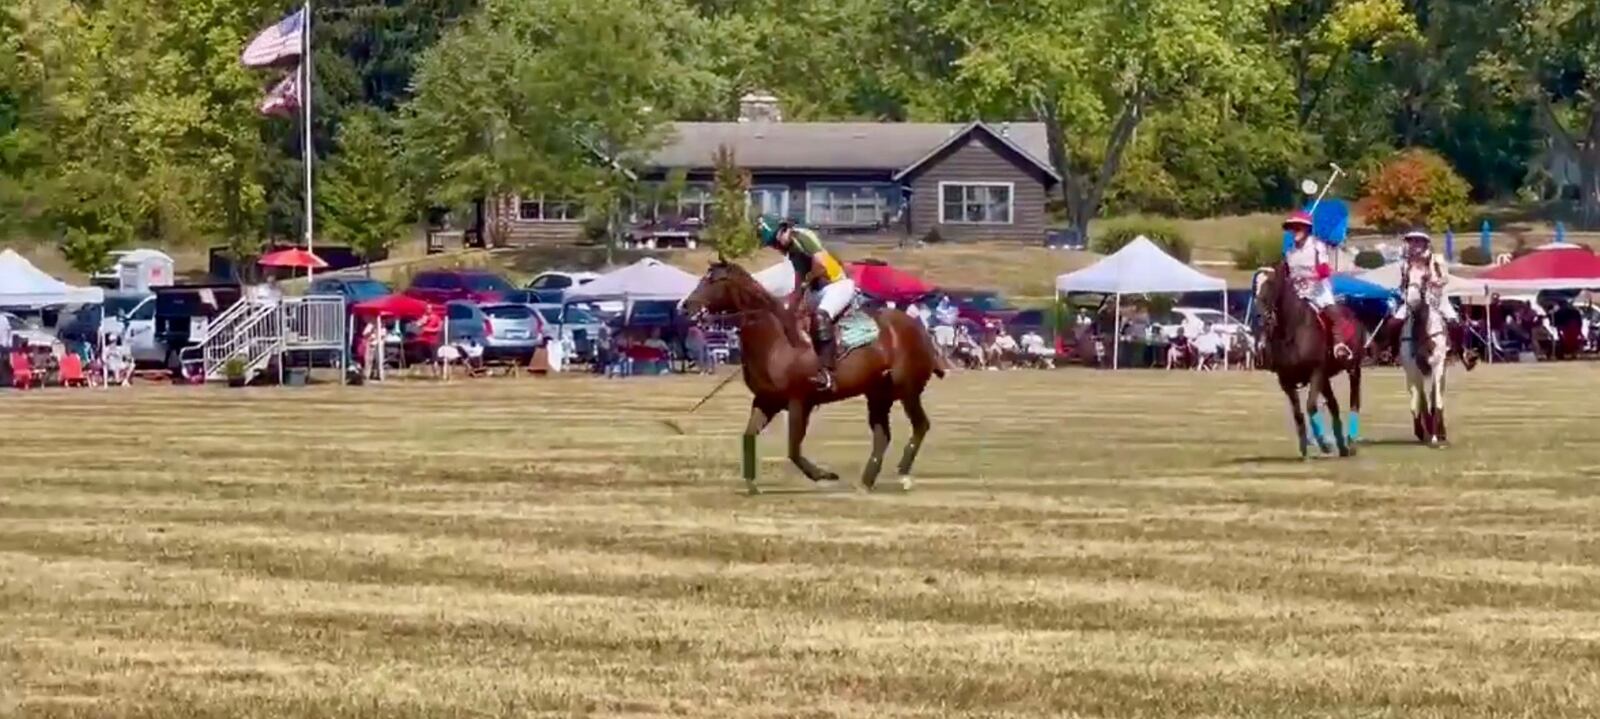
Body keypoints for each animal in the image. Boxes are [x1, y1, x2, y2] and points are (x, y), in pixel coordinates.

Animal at [678, 262, 947, 493]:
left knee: (921, 425)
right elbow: (748, 436)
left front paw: (824, 475)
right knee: (882, 436)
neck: (776, 341)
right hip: (878, 395)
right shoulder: (766, 401)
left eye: (713, 280)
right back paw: (866, 481)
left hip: (907, 389)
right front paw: (752, 485)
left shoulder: (800, 402)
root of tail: (919, 330)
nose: (684, 306)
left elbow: (793, 449)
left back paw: (903, 474)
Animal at [1401, 280, 1452, 441]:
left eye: (1424, 278)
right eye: (1405, 276)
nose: (1412, 299)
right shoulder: (1413, 370)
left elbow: (1435, 399)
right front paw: (1422, 430)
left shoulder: (1438, 365)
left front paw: (1436, 434)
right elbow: (1419, 400)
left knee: (1437, 394)